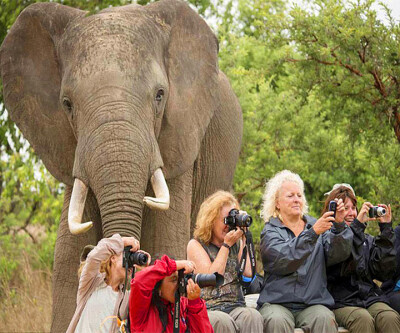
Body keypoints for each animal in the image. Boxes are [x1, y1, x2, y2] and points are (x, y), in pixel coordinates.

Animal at [0, 0, 241, 330]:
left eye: (160, 95)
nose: (122, 256)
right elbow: (66, 259)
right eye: (67, 104)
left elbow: (165, 239)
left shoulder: (179, 136)